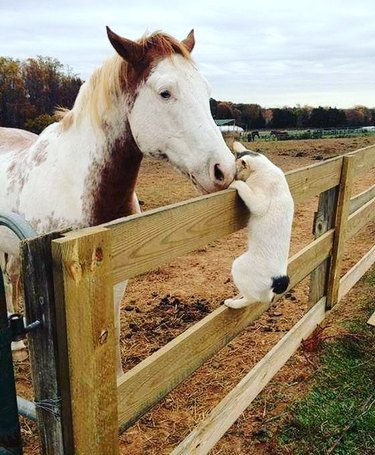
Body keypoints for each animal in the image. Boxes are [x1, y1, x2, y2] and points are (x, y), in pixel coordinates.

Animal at [225, 142, 296, 310]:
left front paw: (235, 183)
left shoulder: (259, 203)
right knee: (265, 298)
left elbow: (244, 189)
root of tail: (280, 277)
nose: (234, 177)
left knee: (253, 299)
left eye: (236, 170)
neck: (264, 168)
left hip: (238, 265)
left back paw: (232, 303)